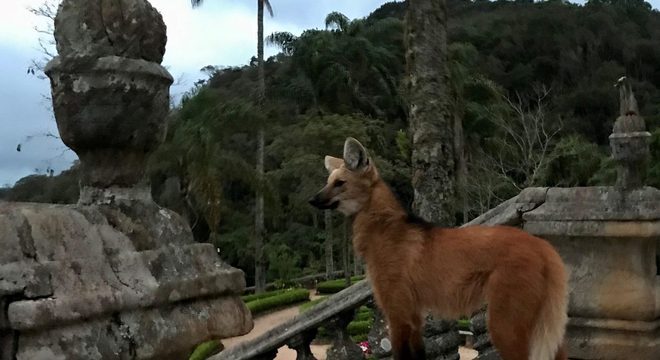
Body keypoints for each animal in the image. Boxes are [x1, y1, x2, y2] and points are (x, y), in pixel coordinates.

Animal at [310, 138, 568, 360]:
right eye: (327, 182)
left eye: (339, 183)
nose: (312, 200)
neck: (385, 229)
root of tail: (542, 245)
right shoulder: (414, 316)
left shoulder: (398, 315)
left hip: (504, 324)